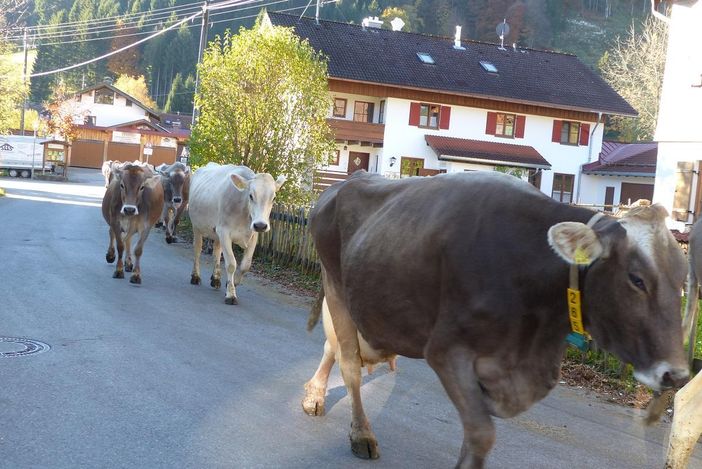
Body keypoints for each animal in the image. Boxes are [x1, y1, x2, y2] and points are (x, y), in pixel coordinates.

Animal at [188, 163, 288, 306]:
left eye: (273, 198)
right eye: (251, 195)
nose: (261, 225)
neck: (244, 212)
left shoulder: (253, 235)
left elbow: (246, 265)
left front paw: (232, 283)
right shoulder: (224, 232)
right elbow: (231, 264)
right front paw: (231, 294)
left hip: (217, 233)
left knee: (216, 253)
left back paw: (216, 278)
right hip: (197, 226)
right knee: (197, 250)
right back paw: (195, 276)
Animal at [310, 171, 692, 468]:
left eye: (682, 281)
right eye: (636, 279)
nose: (675, 374)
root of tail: (341, 185)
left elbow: (474, 433)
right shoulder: (447, 352)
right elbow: (481, 435)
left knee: (334, 347)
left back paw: (313, 395)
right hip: (336, 286)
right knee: (349, 361)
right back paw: (361, 433)